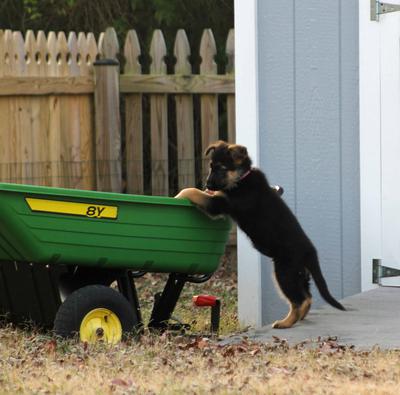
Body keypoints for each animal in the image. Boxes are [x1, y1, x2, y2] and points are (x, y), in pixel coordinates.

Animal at [175, 141, 344, 330]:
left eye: (222, 168)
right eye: (211, 166)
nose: (208, 185)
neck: (242, 178)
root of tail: (310, 252)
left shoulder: (219, 204)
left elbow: (193, 191)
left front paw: (179, 194)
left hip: (285, 271)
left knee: (299, 300)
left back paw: (286, 322)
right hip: (300, 274)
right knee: (307, 297)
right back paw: (299, 317)